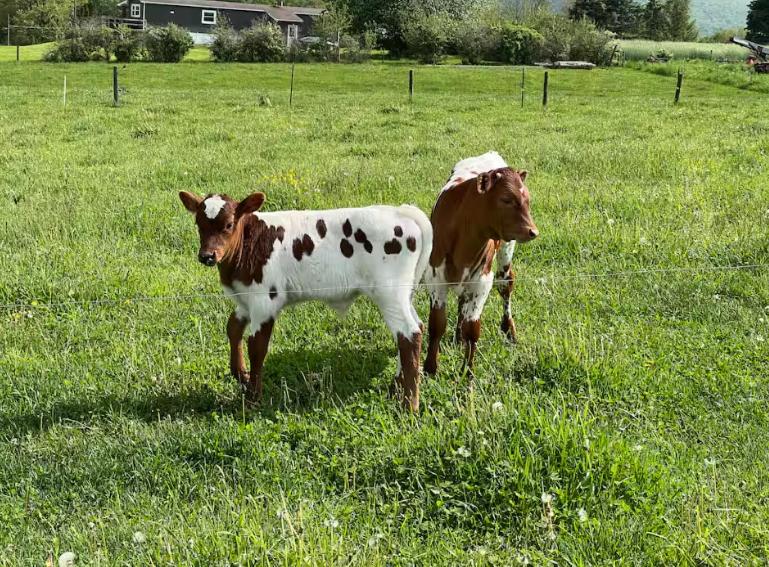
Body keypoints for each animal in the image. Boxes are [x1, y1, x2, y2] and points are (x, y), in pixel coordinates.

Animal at [178, 191, 433, 411]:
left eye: (229, 224)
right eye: (198, 224)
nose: (207, 256)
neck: (249, 244)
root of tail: (400, 211)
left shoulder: (264, 301)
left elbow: (257, 347)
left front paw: (252, 398)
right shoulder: (244, 301)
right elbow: (233, 329)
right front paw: (241, 375)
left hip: (389, 292)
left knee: (409, 335)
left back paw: (409, 405)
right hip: (403, 293)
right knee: (415, 328)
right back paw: (396, 386)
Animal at [423, 151, 539, 377]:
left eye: (527, 200)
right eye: (506, 199)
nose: (533, 231)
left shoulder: (482, 281)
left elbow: (473, 329)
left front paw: (467, 372)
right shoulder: (435, 278)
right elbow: (437, 324)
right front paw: (430, 368)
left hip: (506, 249)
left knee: (505, 284)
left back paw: (508, 330)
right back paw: (457, 337)